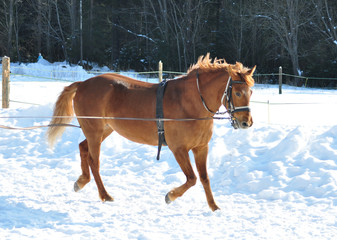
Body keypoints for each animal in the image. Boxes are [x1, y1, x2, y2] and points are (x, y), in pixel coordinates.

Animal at [46, 53, 255, 211]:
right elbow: (192, 179)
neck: (190, 102)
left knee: (83, 148)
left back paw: (81, 181)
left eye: (250, 92)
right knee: (93, 161)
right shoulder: (179, 149)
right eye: (237, 92)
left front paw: (214, 207)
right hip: (94, 132)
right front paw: (170, 195)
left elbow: (204, 178)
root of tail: (82, 84)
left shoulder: (201, 148)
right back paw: (104, 195)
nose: (246, 122)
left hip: (103, 130)